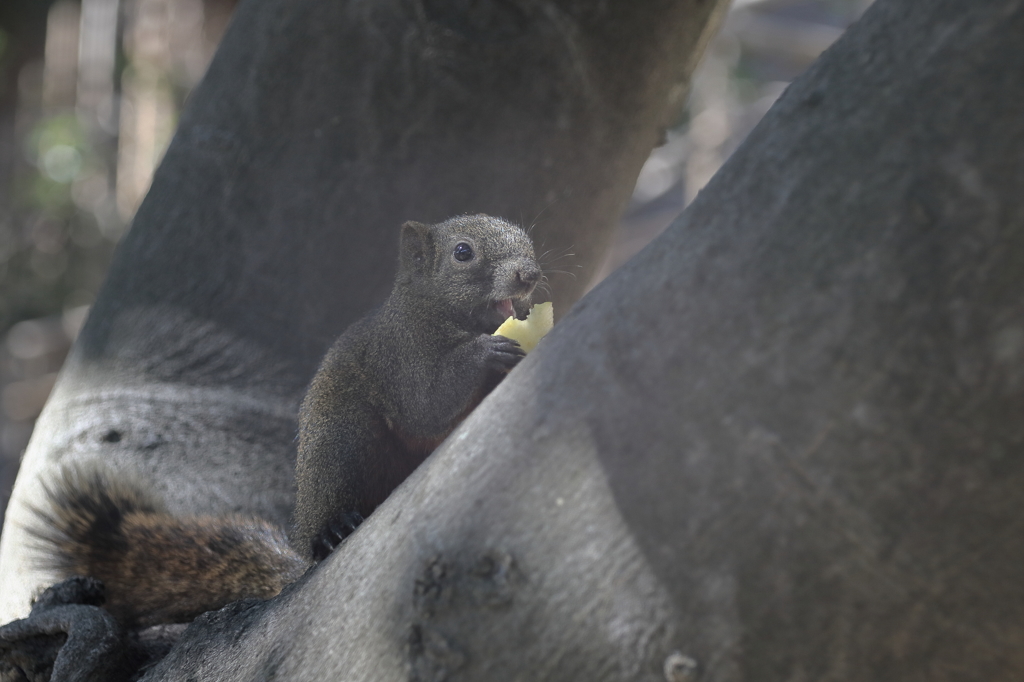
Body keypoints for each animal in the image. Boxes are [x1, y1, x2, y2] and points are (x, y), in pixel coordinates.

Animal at [24, 215, 540, 622]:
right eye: (462, 253)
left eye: (526, 237)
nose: (530, 275)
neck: (432, 310)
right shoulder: (400, 356)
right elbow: (426, 405)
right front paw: (487, 353)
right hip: (342, 441)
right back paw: (333, 531)